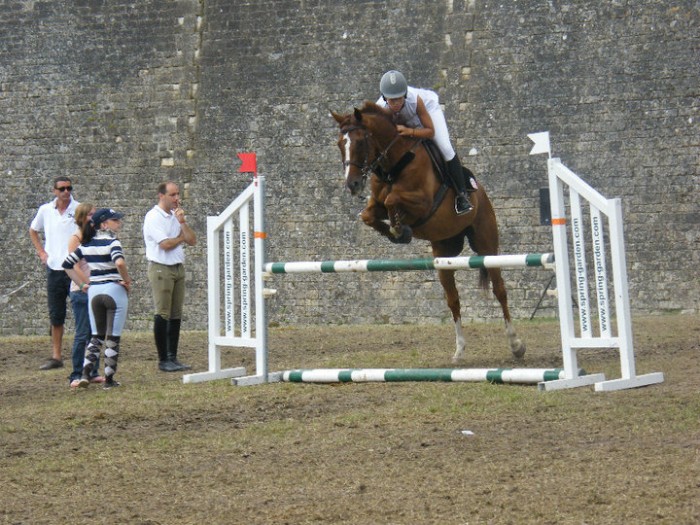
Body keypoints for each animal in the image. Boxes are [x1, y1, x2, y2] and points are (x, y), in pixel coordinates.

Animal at [330, 101, 524, 362]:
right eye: (340, 144)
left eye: (360, 142)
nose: (352, 185)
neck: (394, 163)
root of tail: (481, 193)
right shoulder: (375, 204)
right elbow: (368, 215)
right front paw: (395, 232)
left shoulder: (422, 202)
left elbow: (392, 200)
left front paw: (399, 228)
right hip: (443, 255)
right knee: (453, 300)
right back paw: (459, 351)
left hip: (487, 246)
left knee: (500, 290)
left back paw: (516, 345)